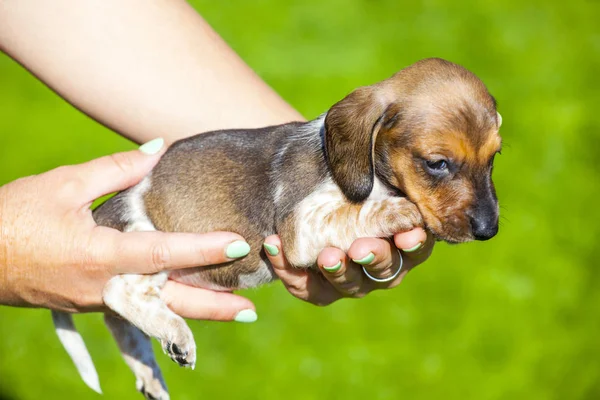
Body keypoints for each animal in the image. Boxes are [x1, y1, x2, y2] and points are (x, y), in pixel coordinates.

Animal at [51, 57, 502, 398]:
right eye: (437, 163)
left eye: (495, 157)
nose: (489, 230)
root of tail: (110, 207)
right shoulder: (300, 224)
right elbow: (359, 213)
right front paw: (401, 211)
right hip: (150, 245)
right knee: (118, 293)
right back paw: (175, 334)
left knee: (118, 319)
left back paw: (151, 372)